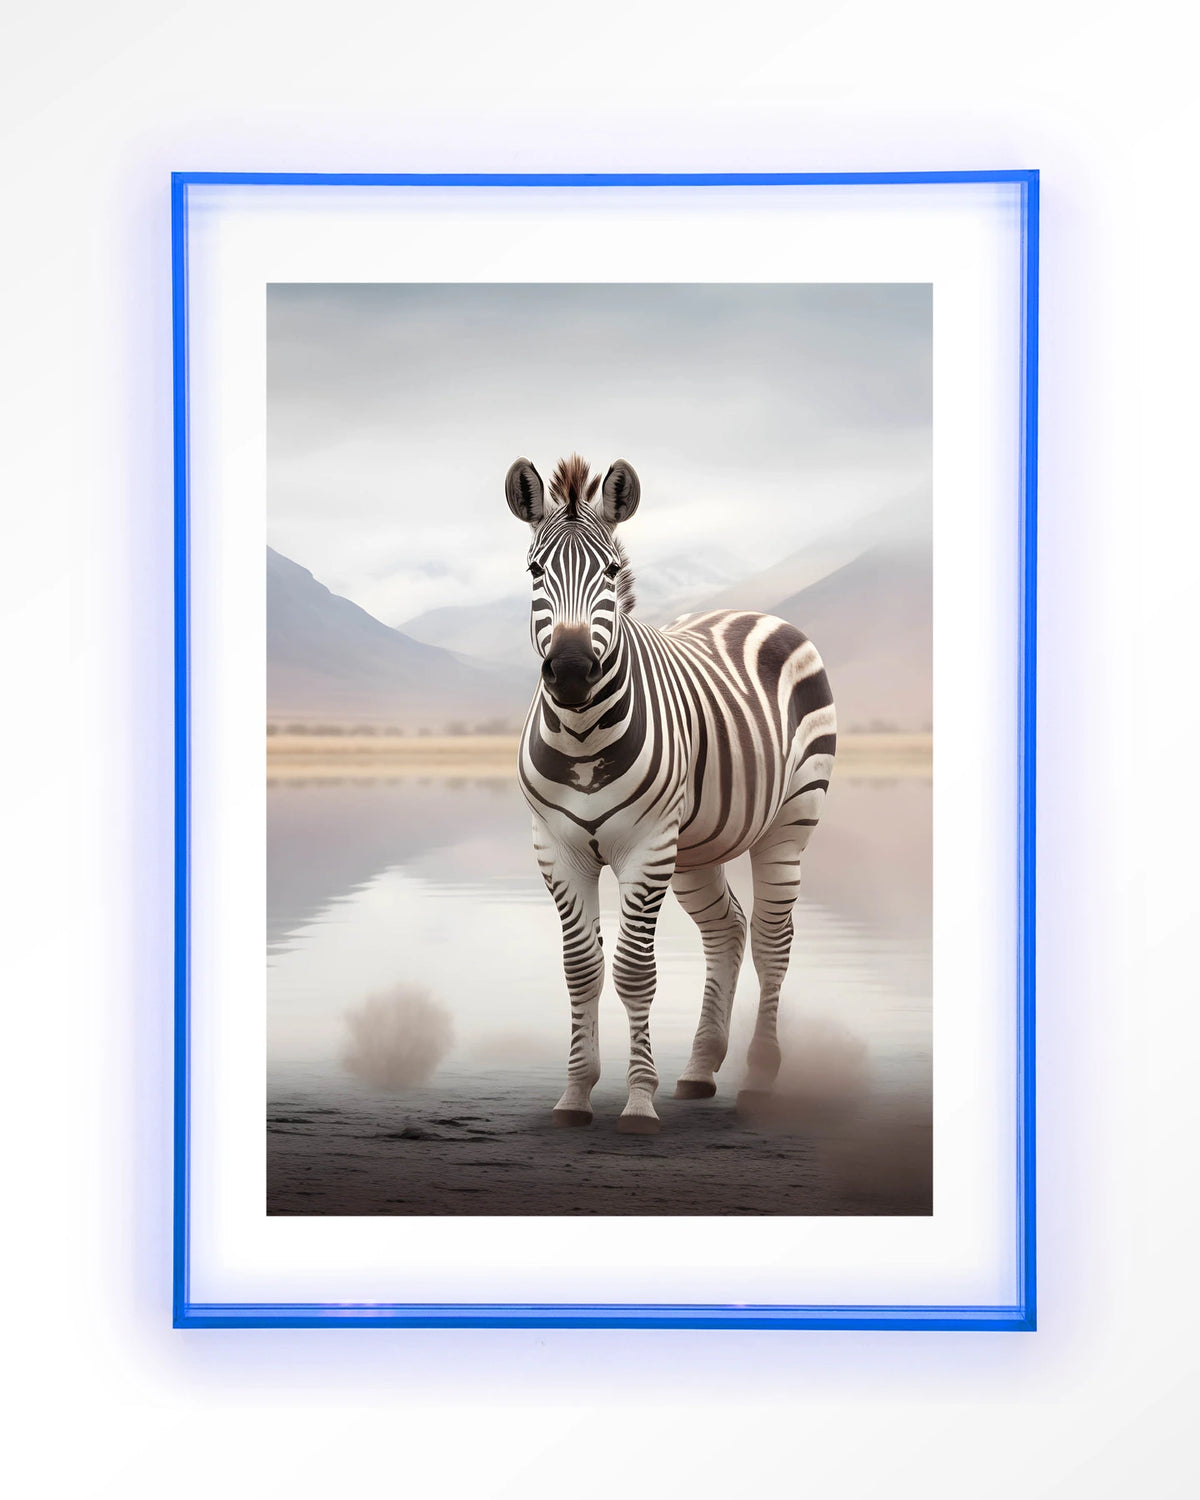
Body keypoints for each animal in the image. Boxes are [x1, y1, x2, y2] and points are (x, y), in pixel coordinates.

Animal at [507, 453, 836, 1134]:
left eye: (610, 571)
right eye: (534, 571)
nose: (571, 671)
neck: (582, 735)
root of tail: (753, 612)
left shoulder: (645, 846)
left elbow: (634, 972)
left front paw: (638, 1102)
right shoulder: (557, 849)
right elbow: (581, 970)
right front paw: (575, 1094)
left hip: (789, 823)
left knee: (772, 941)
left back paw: (758, 1080)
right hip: (696, 849)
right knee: (728, 930)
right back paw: (700, 1069)